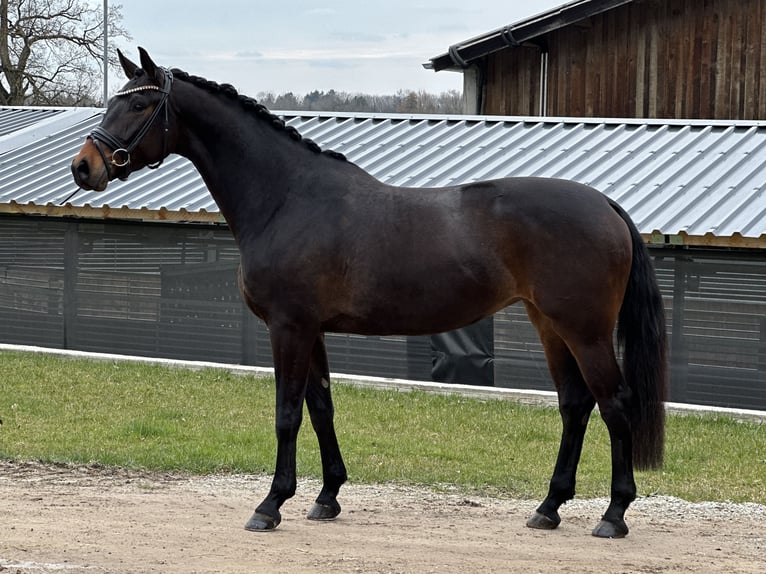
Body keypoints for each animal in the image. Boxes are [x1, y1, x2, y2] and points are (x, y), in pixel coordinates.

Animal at [71, 48, 668, 538]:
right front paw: (326, 497)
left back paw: (614, 515)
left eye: (140, 104)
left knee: (615, 403)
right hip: (550, 325)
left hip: (584, 330)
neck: (288, 198)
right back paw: (548, 508)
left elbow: (287, 412)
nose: (84, 167)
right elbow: (320, 407)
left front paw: (270, 505)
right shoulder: (311, 330)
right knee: (575, 404)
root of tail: (604, 204)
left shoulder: (288, 327)